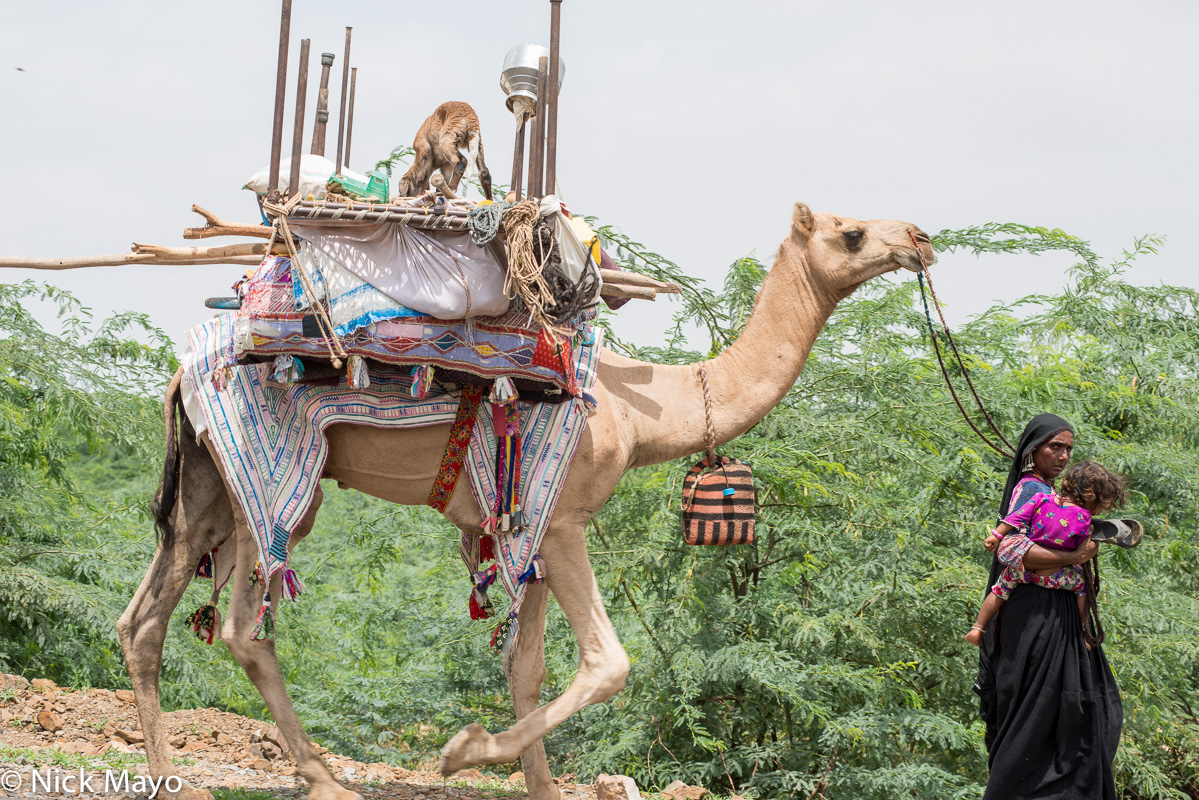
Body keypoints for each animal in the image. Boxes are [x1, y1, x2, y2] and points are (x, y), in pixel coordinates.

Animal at [114, 205, 935, 800]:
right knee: (244, 627)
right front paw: (464, 751)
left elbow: (528, 667)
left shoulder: (527, 530)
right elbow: (607, 663)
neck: (642, 411)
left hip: (209, 484)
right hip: (274, 475)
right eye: (851, 231)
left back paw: (171, 775)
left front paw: (534, 784)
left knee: (145, 617)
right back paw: (315, 781)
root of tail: (179, 372)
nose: (921, 238)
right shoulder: (564, 516)